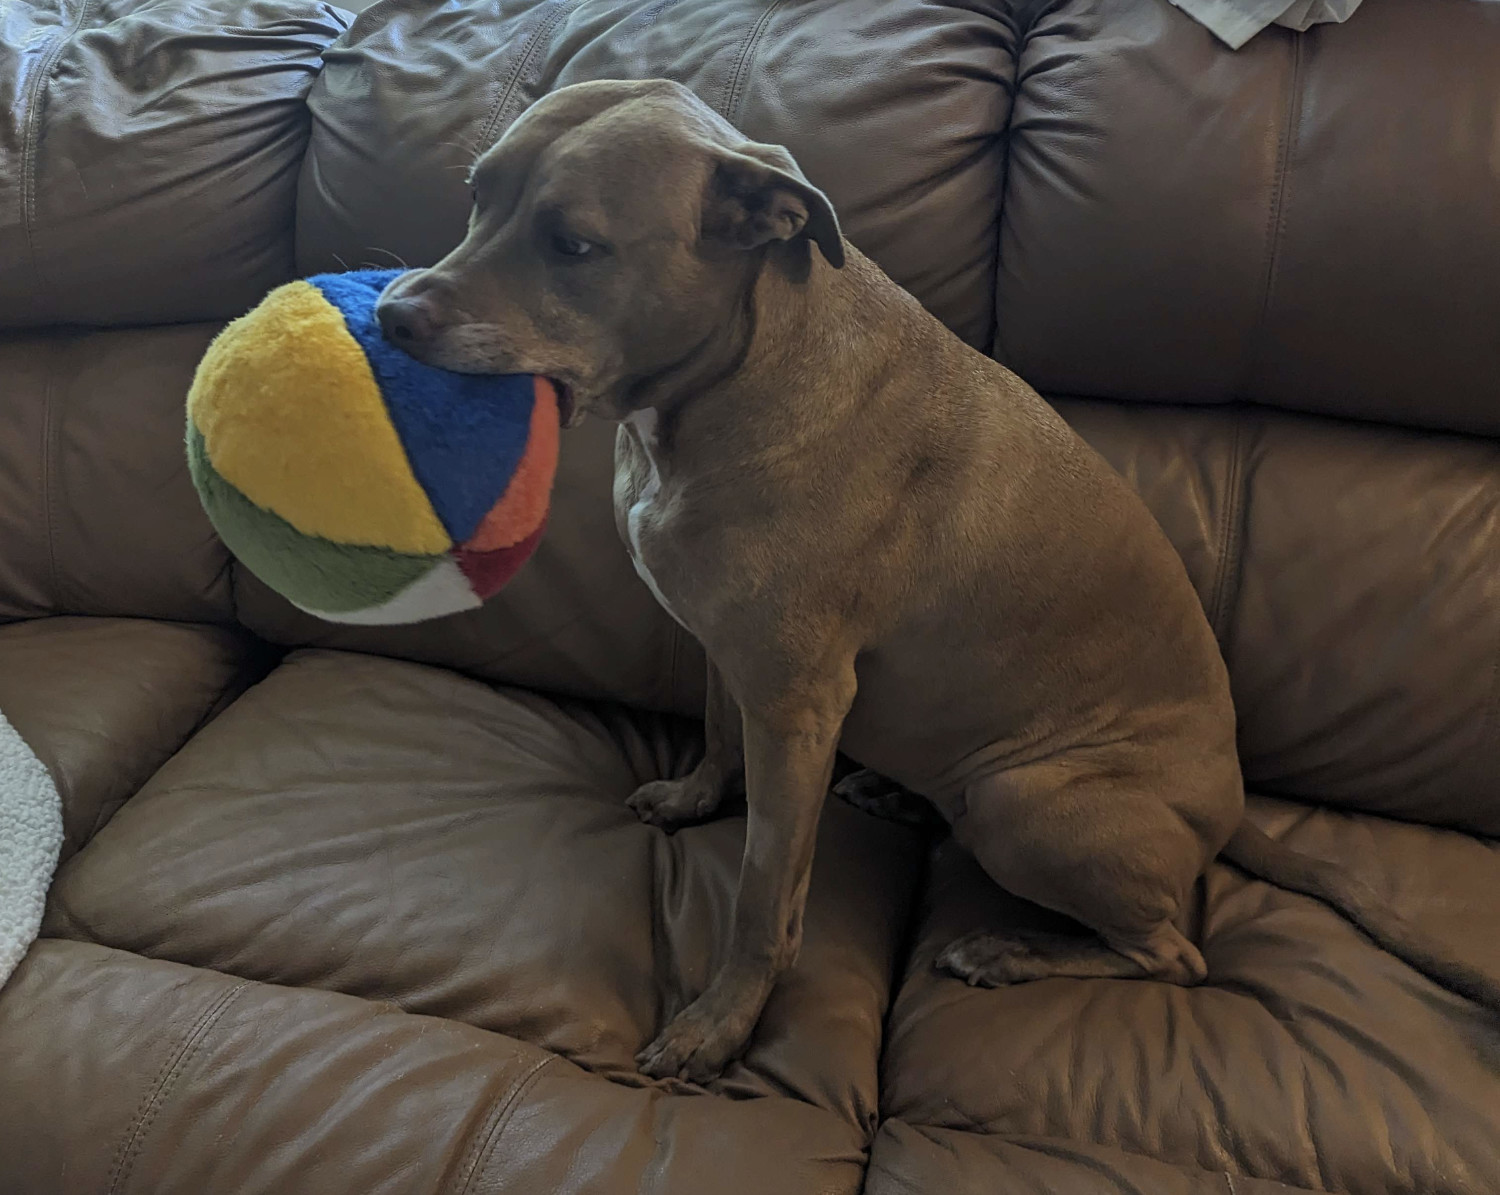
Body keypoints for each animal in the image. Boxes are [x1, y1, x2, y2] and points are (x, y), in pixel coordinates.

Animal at [381, 74, 1500, 1079]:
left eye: (574, 244)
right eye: (476, 193)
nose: (393, 313)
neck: (735, 372)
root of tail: (1230, 805)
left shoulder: (795, 700)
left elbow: (763, 892)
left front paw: (721, 1022)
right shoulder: (726, 649)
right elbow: (712, 731)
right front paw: (698, 795)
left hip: (1026, 799)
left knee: (1173, 953)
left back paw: (1009, 952)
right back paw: (902, 794)